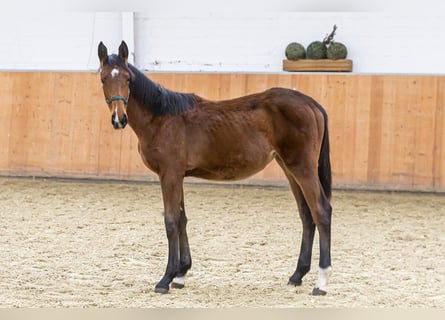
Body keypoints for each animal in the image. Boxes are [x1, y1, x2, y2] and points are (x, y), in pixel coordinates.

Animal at [98, 41, 332, 296]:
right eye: (103, 79)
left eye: (128, 79)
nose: (119, 119)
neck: (162, 117)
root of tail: (311, 103)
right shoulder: (177, 175)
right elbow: (182, 219)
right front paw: (180, 274)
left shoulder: (169, 174)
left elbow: (171, 221)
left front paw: (165, 279)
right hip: (289, 169)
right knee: (306, 215)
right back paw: (298, 274)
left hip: (302, 168)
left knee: (321, 211)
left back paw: (321, 281)